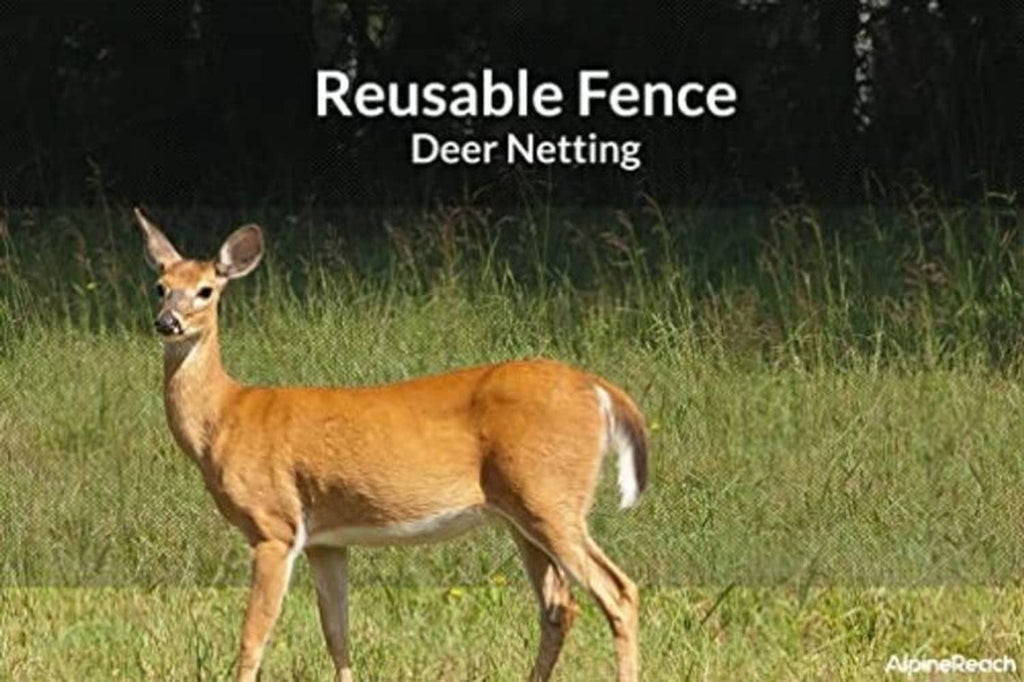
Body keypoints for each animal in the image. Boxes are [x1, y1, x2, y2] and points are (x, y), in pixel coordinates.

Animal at [134, 208, 650, 682]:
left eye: (206, 289)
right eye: (160, 286)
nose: (167, 322)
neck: (224, 416)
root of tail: (599, 389)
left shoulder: (274, 525)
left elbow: (253, 636)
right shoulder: (325, 539)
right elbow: (336, 634)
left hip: (549, 495)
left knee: (618, 592)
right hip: (521, 512)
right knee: (558, 605)